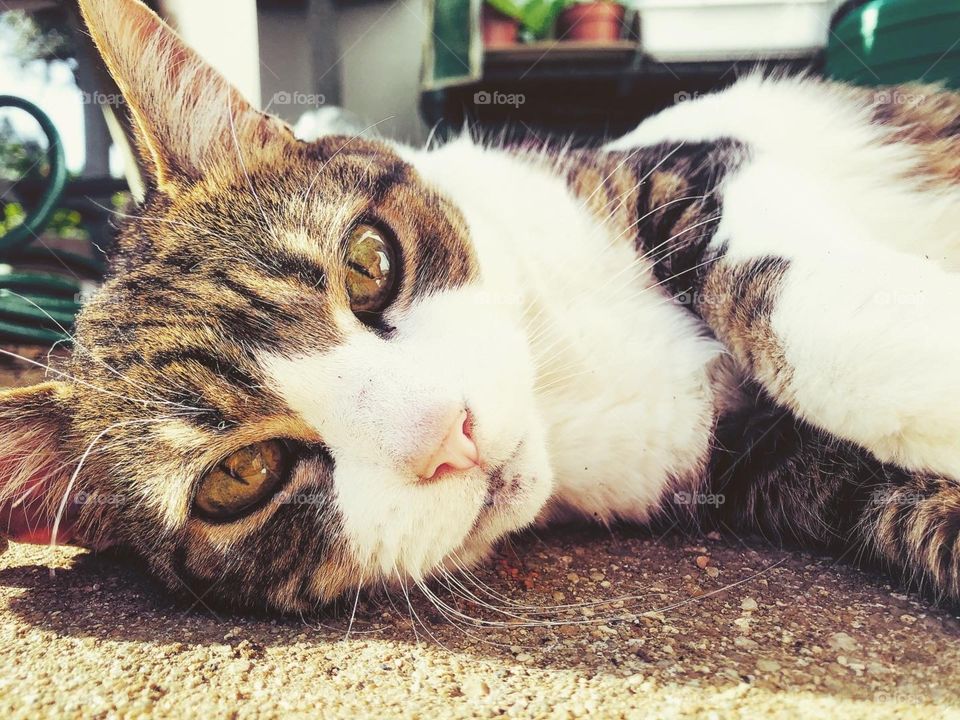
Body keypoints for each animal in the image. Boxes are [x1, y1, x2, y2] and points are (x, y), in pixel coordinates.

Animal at [1, 0, 960, 612]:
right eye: (241, 478)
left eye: (369, 262)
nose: (448, 434)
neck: (566, 391)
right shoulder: (763, 462)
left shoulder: (691, 163)